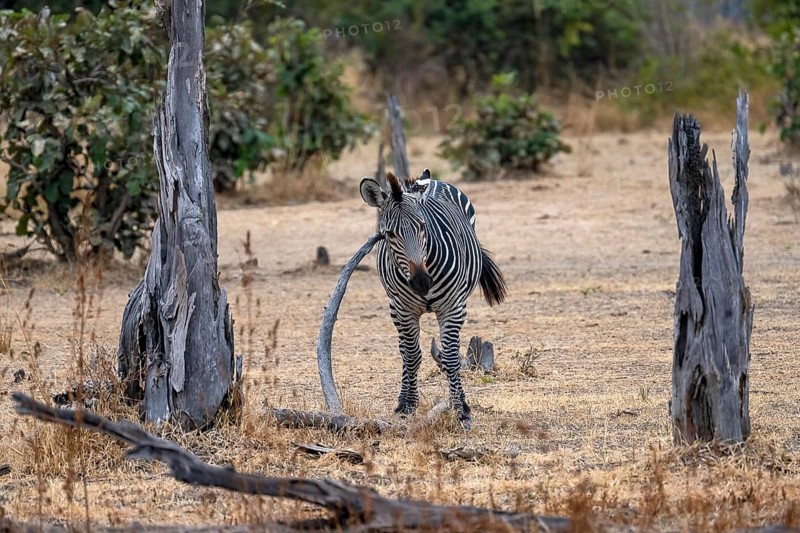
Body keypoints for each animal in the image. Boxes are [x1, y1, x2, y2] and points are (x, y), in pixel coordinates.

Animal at [360, 168, 507, 429]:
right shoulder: (404, 309)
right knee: (404, 350)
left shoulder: (453, 308)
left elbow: (450, 358)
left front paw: (462, 410)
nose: (421, 282)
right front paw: (408, 405)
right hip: (394, 308)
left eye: (422, 226)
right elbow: (411, 356)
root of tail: (430, 181)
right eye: (389, 234)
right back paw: (402, 398)